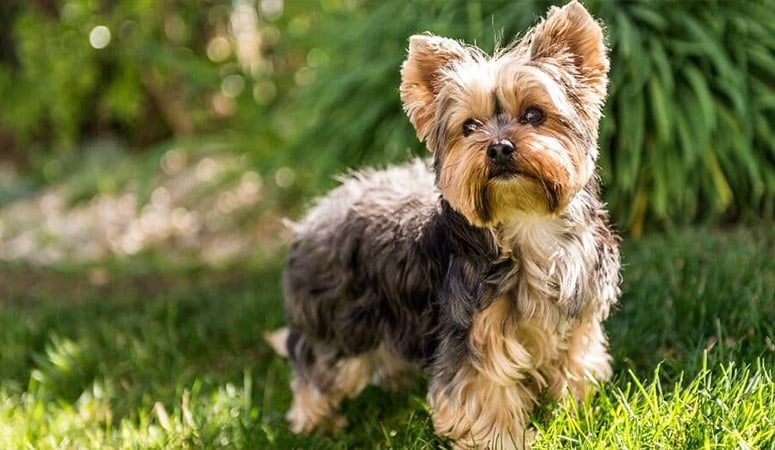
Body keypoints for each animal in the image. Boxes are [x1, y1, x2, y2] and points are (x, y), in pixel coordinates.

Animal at [270, 1, 620, 448]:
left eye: (534, 114)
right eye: (469, 127)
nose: (499, 147)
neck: (525, 223)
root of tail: (311, 217)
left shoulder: (578, 318)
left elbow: (575, 364)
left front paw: (574, 415)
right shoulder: (472, 334)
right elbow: (485, 395)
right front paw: (504, 440)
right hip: (339, 321)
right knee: (314, 363)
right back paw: (315, 422)